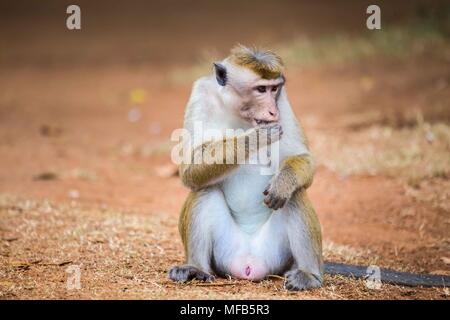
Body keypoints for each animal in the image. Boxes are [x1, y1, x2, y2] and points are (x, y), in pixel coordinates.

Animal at [168, 45, 450, 292]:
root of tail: (249, 265)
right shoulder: (200, 96)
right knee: (204, 191)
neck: (240, 114)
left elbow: (300, 157)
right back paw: (196, 268)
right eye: (260, 89)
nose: (272, 111)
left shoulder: (284, 102)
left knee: (294, 196)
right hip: (225, 255)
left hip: (277, 256)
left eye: (275, 89)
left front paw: (284, 180)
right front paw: (254, 139)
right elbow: (190, 168)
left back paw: (309, 274)